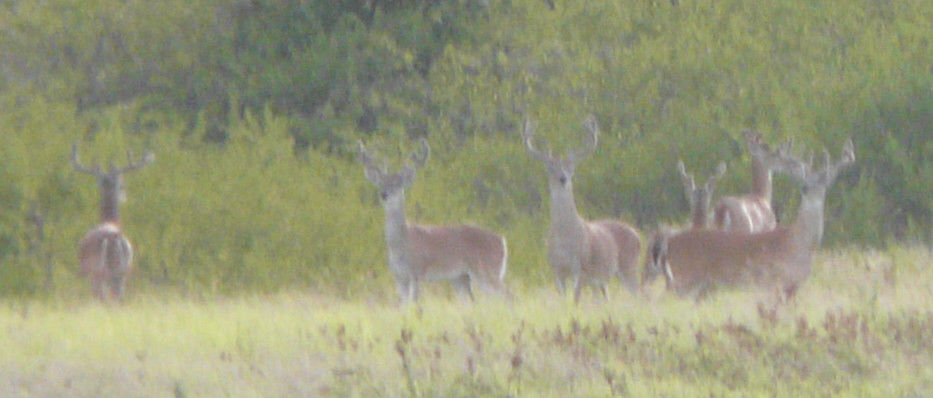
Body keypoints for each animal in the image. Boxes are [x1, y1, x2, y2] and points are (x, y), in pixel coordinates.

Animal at [71, 143, 153, 302]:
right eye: (122, 186)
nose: (124, 196)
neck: (109, 220)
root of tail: (113, 238)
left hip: (100, 271)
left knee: (105, 298)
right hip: (122, 270)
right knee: (117, 297)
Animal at [358, 138, 506, 304]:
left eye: (398, 185)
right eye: (381, 183)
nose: (384, 194)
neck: (402, 242)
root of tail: (502, 241)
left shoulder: (417, 272)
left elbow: (415, 304)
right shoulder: (399, 278)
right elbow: (404, 306)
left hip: (487, 269)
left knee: (508, 295)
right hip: (460, 277)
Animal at [520, 115, 644, 302]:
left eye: (571, 166)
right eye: (550, 167)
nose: (563, 178)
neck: (565, 237)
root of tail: (637, 235)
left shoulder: (580, 267)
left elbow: (575, 299)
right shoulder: (557, 270)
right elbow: (564, 300)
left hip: (628, 266)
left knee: (643, 294)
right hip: (603, 280)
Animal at [644, 135, 856, 300]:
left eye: (825, 182)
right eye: (801, 182)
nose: (809, 189)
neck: (797, 243)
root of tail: (670, 244)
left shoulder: (792, 287)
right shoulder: (773, 282)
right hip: (684, 280)